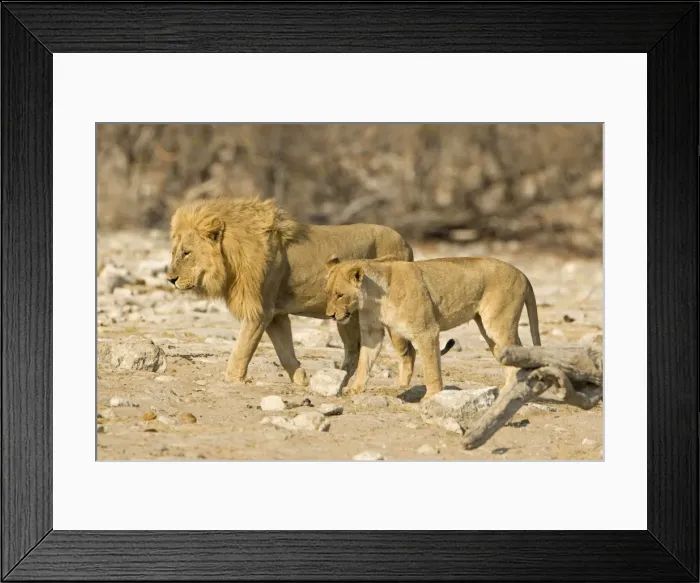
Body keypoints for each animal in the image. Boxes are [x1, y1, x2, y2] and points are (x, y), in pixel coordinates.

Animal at [165, 196, 415, 386]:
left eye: (186, 253)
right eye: (174, 252)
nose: (170, 279)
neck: (233, 256)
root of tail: (406, 243)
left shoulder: (260, 311)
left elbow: (242, 349)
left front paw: (232, 379)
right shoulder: (276, 314)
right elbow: (284, 352)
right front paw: (301, 379)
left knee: (408, 352)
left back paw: (400, 387)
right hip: (346, 317)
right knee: (353, 352)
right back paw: (339, 383)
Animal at [324, 255, 541, 399]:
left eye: (340, 295)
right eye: (327, 293)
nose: (330, 315)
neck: (373, 299)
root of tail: (522, 273)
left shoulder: (427, 331)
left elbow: (431, 368)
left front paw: (432, 397)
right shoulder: (372, 332)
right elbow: (364, 362)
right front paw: (355, 388)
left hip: (498, 325)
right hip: (489, 332)